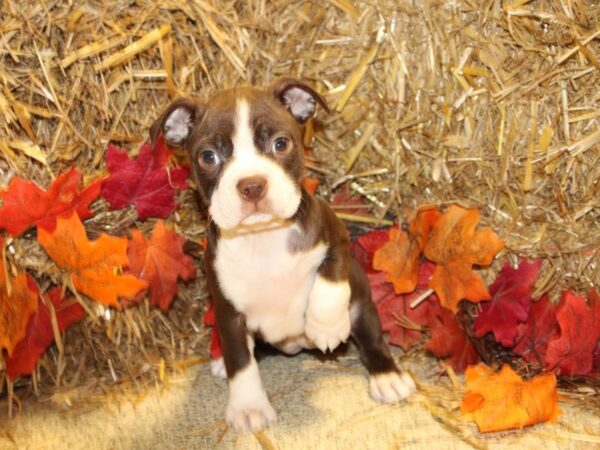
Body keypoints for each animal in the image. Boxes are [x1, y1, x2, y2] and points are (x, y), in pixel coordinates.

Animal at [150, 79, 414, 434]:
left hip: (362, 303)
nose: (251, 185)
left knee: (371, 336)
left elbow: (330, 279)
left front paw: (326, 326)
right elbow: (241, 361)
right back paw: (220, 361)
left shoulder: (337, 237)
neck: (263, 239)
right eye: (208, 156)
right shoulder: (228, 313)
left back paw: (388, 377)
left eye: (280, 143)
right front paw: (248, 406)